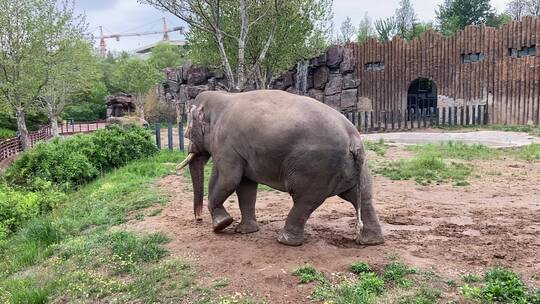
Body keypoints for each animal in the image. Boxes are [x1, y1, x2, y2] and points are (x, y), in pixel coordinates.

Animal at [178, 89, 384, 246]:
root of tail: (353, 139)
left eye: (187, 134)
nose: (198, 219)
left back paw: (285, 241)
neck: (221, 98)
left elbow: (230, 179)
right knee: (362, 196)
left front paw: (221, 225)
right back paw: (371, 242)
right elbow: (245, 186)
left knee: (304, 200)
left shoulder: (226, 145)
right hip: (355, 168)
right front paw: (245, 231)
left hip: (316, 168)